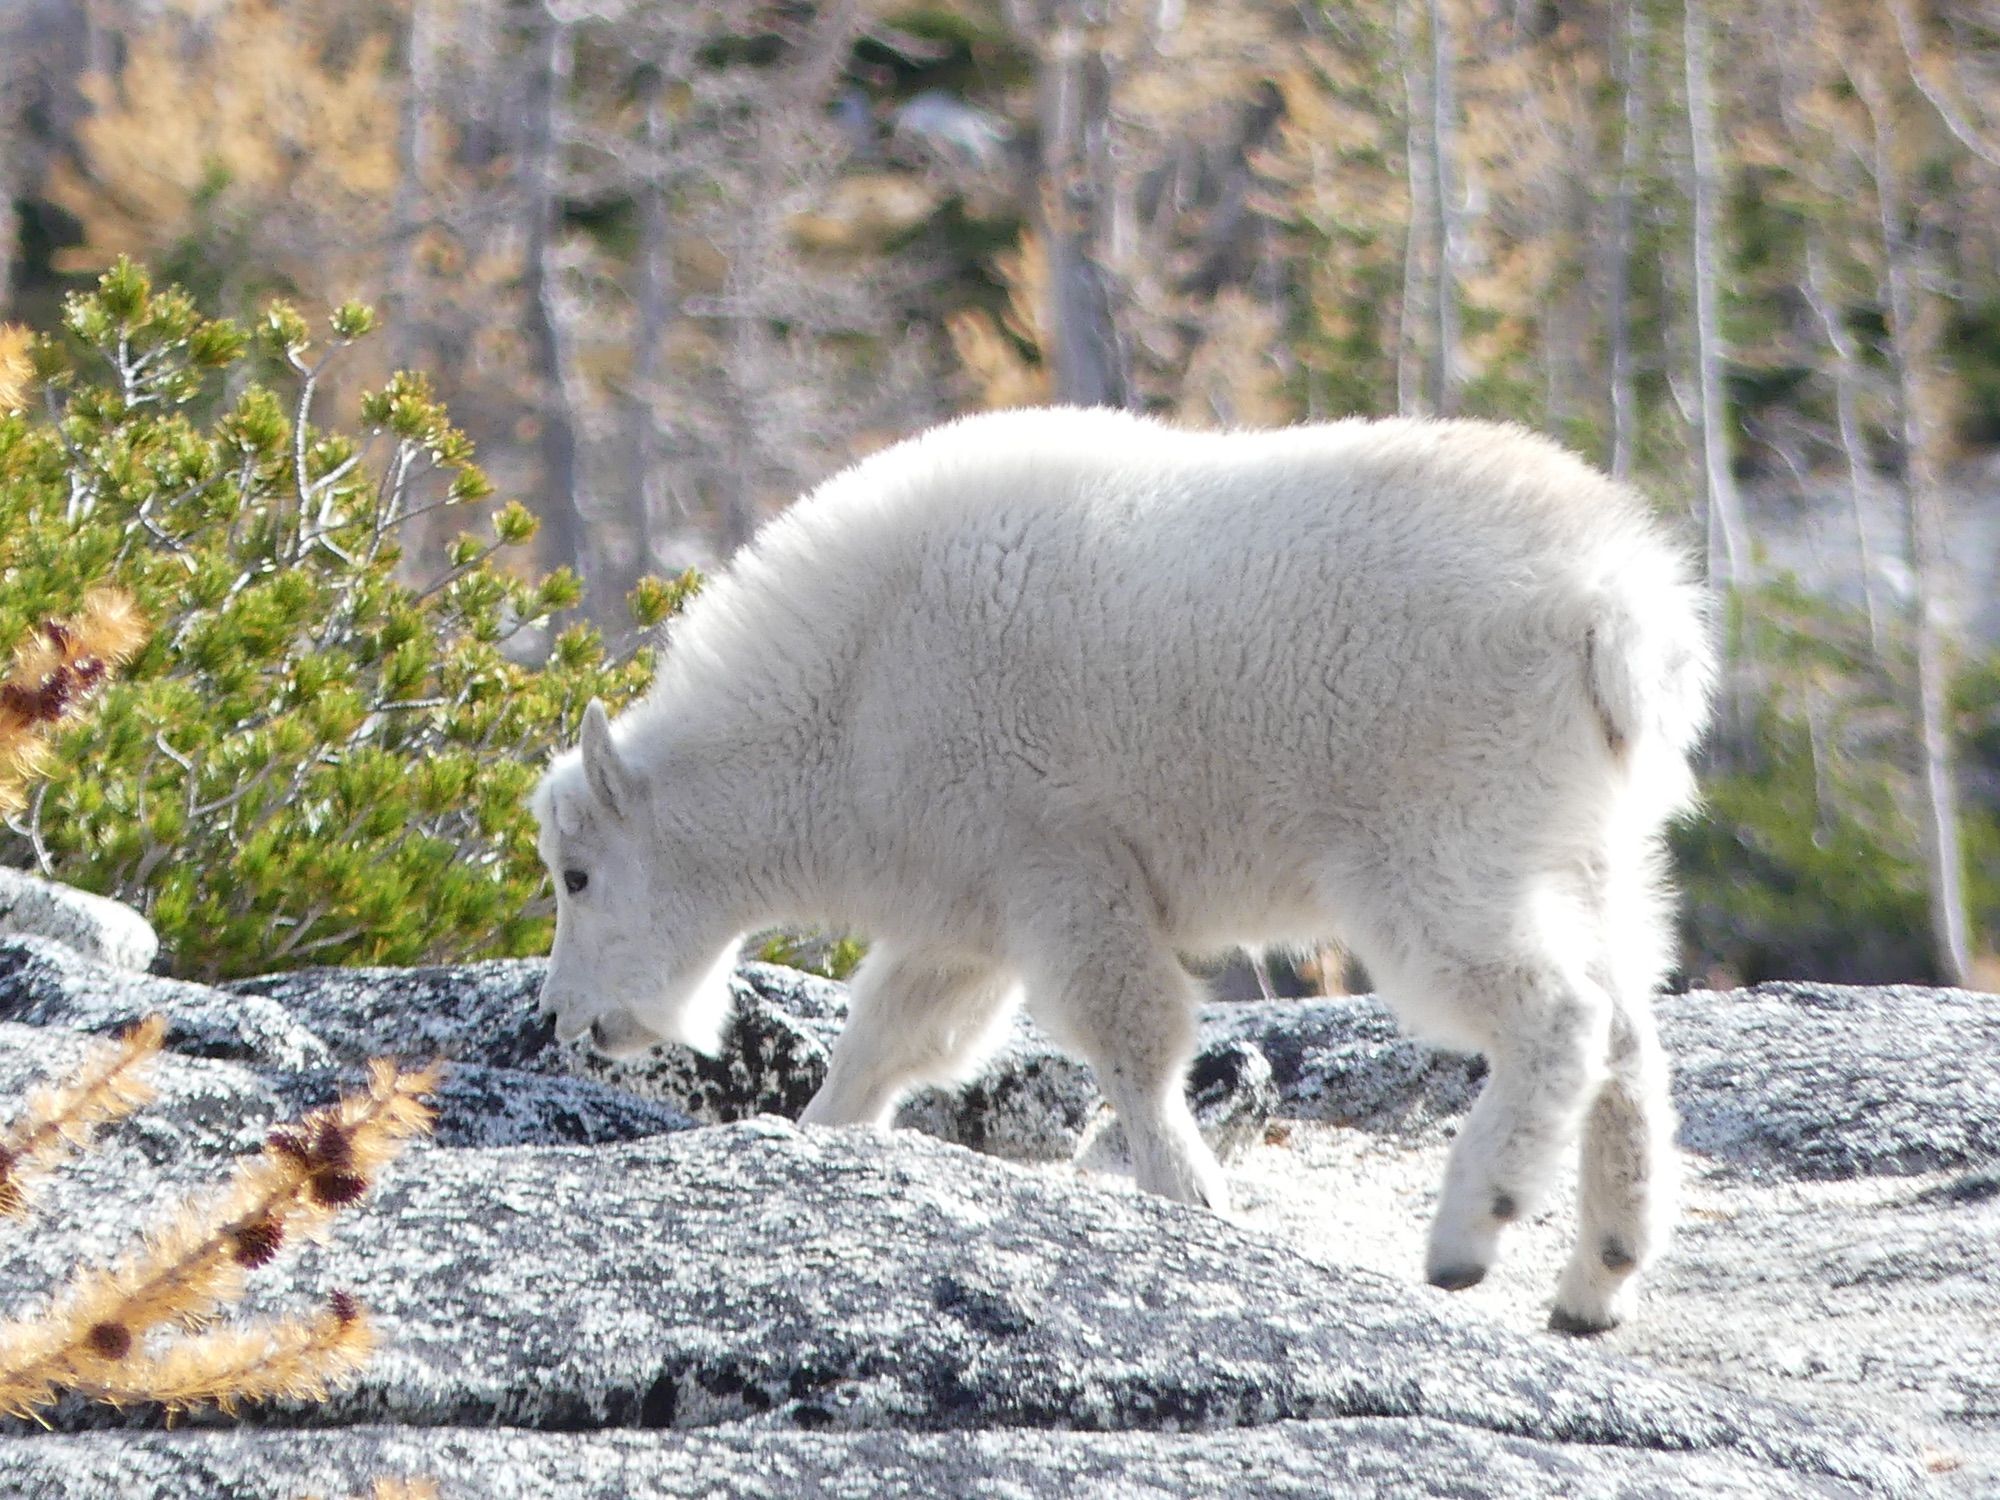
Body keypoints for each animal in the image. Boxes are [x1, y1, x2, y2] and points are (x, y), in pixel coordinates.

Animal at [532, 406, 1720, 1336]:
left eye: (577, 876)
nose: (567, 1020)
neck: (849, 696)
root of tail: (1616, 610)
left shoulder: (1062, 868)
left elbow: (1130, 1044)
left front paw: (1193, 1202)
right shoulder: (967, 909)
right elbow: (888, 1041)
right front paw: (820, 1138)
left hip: (1441, 844)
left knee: (1557, 1011)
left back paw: (1473, 1227)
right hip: (1590, 849)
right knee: (1626, 1027)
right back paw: (1597, 1277)